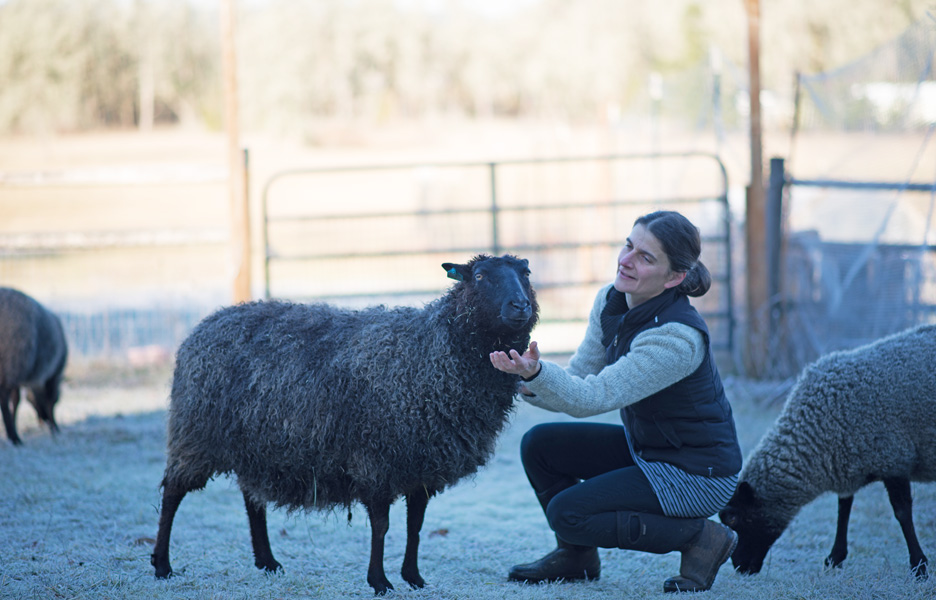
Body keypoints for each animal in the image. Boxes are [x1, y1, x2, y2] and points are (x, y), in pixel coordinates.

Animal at [0, 286, 67, 446]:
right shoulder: (52, 375)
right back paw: (14, 437)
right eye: (59, 401)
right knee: (3, 398)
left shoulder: (19, 376)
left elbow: (16, 400)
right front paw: (55, 428)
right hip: (13, 360)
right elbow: (49, 400)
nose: (44, 421)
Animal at [150, 254, 536, 596]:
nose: (520, 306)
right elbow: (381, 526)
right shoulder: (376, 460)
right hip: (195, 434)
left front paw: (414, 577)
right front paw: (379, 582)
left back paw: (267, 561)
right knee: (172, 493)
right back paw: (162, 565)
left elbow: (415, 526)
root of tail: (209, 322)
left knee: (251, 499)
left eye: (525, 272)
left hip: (254, 444)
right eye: (481, 276)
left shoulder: (422, 466)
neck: (430, 355)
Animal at [720, 324, 932, 580]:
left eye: (733, 518)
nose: (740, 567)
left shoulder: (894, 459)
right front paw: (835, 558)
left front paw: (919, 565)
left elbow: (902, 513)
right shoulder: (848, 463)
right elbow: (843, 509)